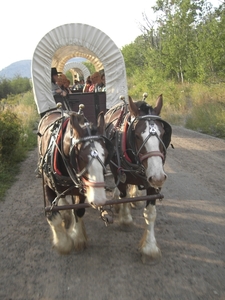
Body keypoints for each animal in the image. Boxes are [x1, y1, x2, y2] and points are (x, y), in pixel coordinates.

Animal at [37, 109, 111, 254]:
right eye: (81, 157)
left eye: (105, 153)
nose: (99, 200)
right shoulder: (47, 187)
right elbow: (53, 216)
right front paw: (63, 243)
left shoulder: (81, 189)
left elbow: (78, 210)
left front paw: (78, 238)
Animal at [104, 95, 171, 262]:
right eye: (136, 135)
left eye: (163, 133)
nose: (159, 177)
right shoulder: (120, 175)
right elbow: (123, 196)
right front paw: (125, 220)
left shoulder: (151, 183)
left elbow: (150, 214)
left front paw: (150, 248)